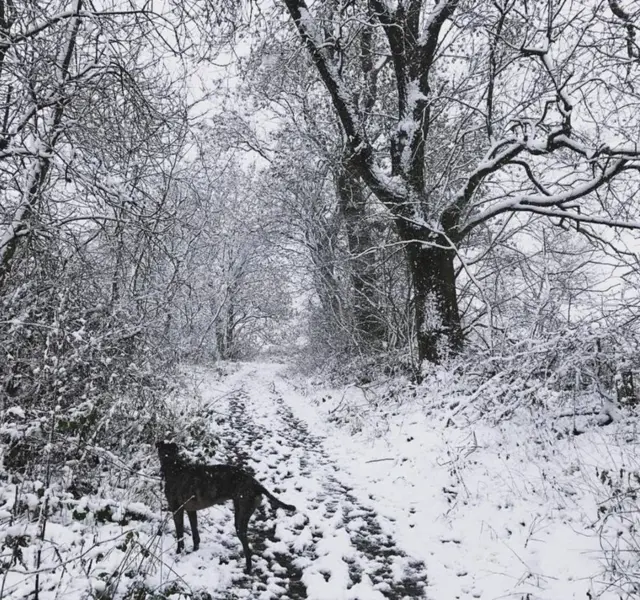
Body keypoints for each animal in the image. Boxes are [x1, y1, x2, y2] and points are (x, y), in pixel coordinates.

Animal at [156, 440, 296, 572]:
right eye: (163, 452)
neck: (173, 466)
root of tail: (256, 484)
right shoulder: (191, 510)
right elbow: (195, 534)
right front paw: (194, 550)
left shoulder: (176, 510)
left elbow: (180, 535)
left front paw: (179, 553)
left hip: (241, 518)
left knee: (247, 548)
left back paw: (248, 569)